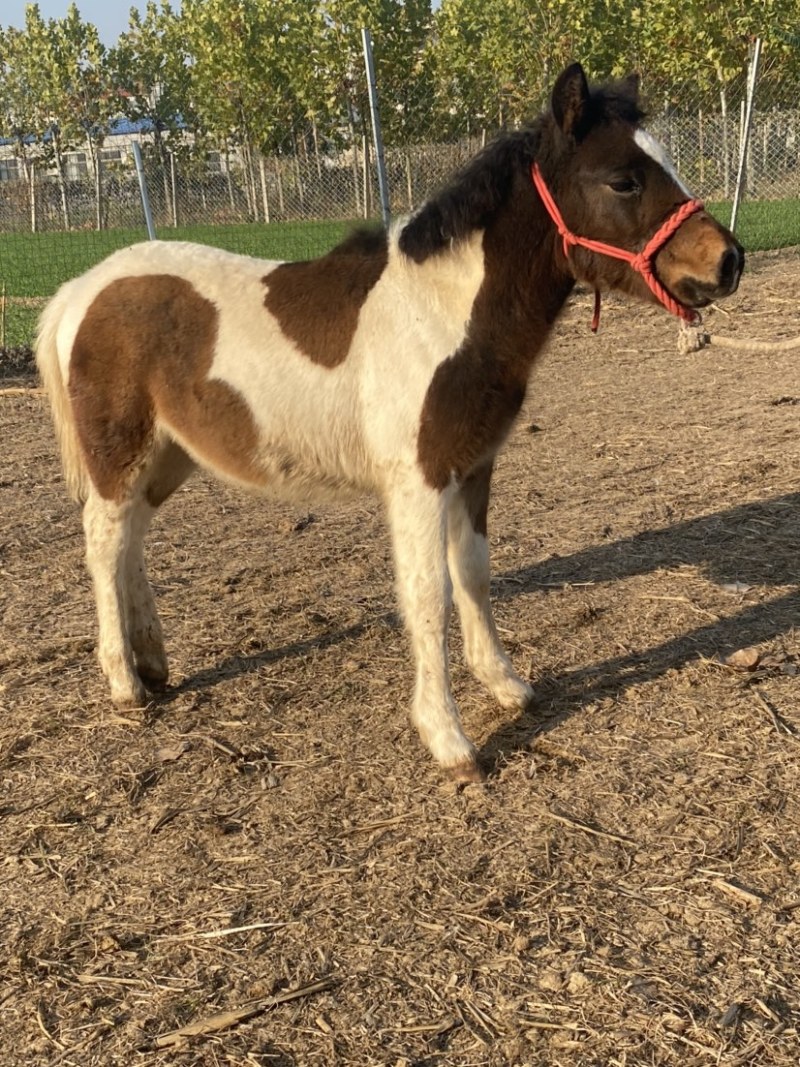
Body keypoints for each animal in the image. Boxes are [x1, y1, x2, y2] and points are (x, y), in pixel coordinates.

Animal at [36, 63, 743, 783]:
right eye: (623, 179)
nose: (728, 260)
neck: (441, 314)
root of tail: (79, 289)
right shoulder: (419, 480)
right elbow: (428, 595)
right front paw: (448, 738)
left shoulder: (474, 466)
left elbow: (474, 572)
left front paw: (506, 685)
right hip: (119, 451)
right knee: (103, 541)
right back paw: (125, 683)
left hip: (167, 453)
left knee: (132, 539)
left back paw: (154, 662)